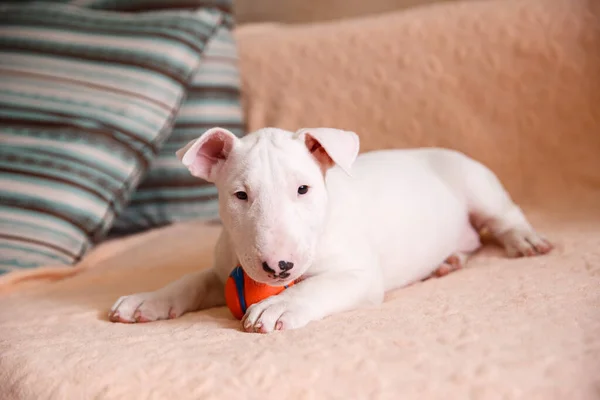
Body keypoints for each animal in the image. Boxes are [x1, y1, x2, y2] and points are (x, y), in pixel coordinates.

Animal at [109, 127, 552, 332]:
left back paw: (524, 239)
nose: (279, 267)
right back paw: (449, 261)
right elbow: (192, 280)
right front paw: (146, 300)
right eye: (240, 195)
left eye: (303, 189)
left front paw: (278, 306)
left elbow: (318, 286)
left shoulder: (360, 276)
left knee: (505, 218)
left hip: (479, 186)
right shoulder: (224, 268)